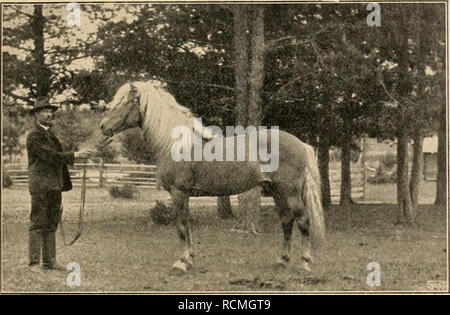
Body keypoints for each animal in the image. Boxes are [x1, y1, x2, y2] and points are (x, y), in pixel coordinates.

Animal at [100, 80, 326, 276]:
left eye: (124, 103)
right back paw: (282, 261)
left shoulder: (178, 192)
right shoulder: (184, 195)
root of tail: (301, 144)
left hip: (291, 193)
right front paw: (189, 260)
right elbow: (187, 226)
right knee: (287, 222)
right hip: (277, 192)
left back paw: (305, 264)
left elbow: (181, 226)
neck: (175, 143)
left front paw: (180, 264)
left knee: (303, 221)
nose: (102, 126)